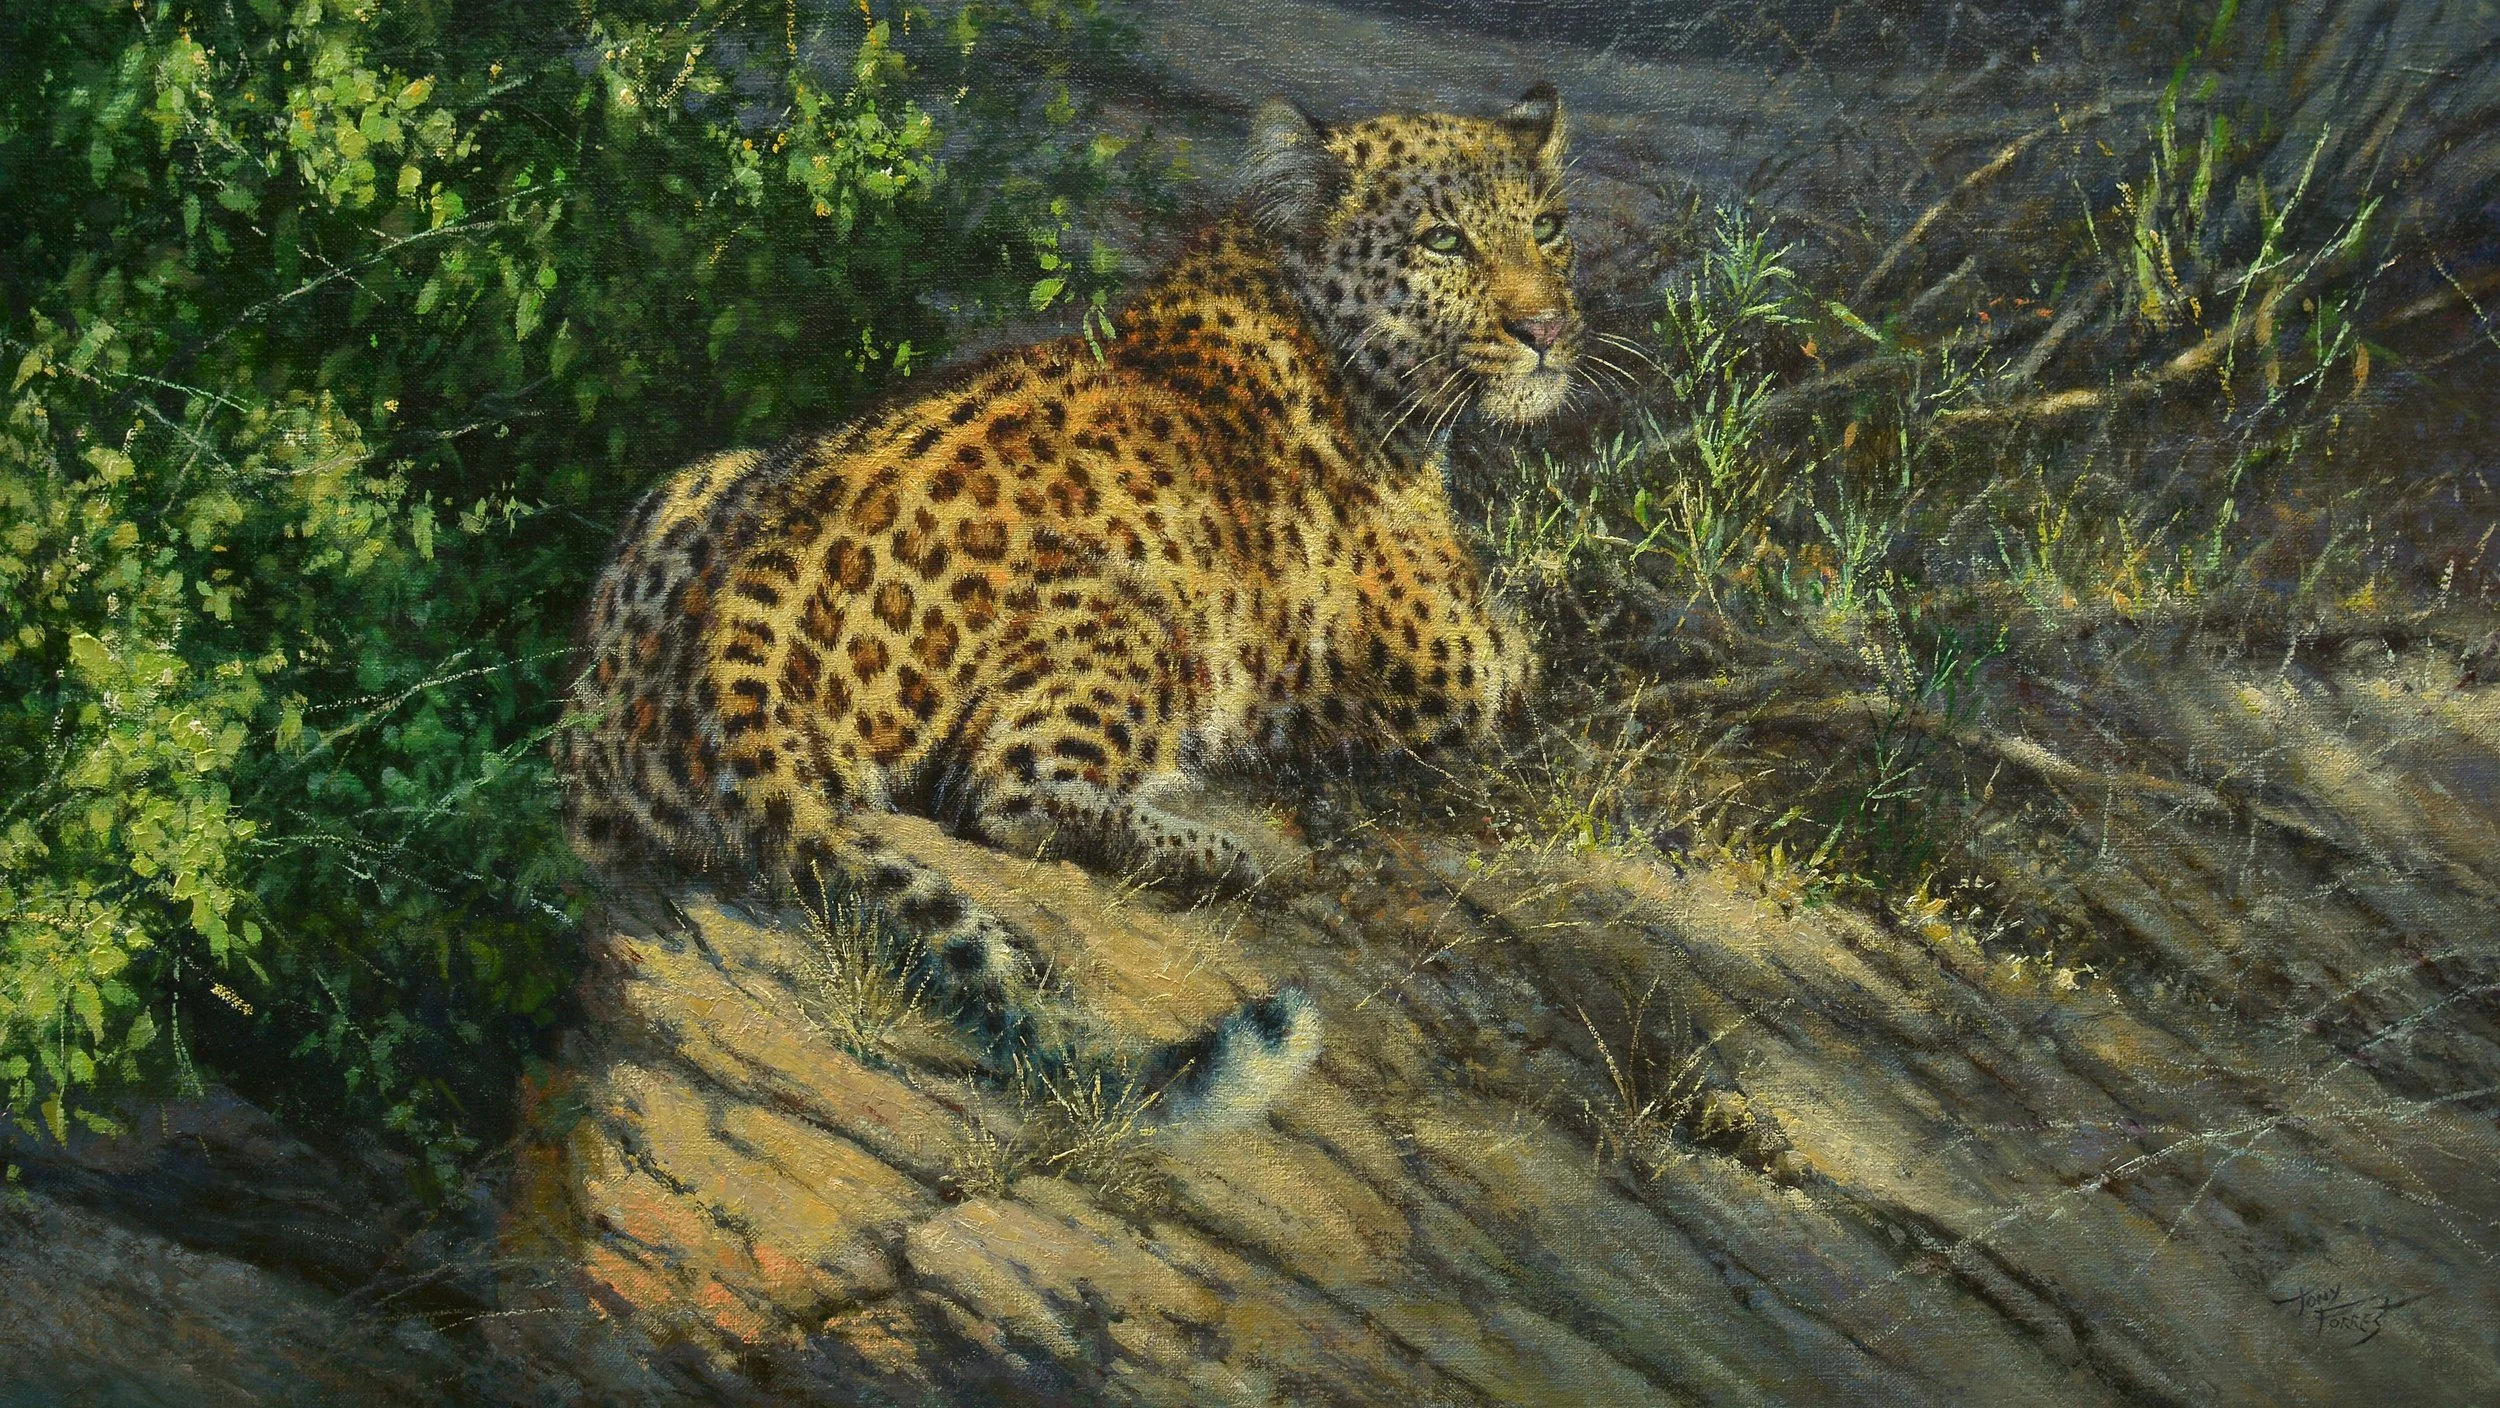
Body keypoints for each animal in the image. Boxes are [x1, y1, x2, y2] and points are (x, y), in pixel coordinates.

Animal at [554, 84, 1583, 1126]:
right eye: (1443, 241)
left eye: (1548, 229)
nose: (1547, 329)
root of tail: (732, 644)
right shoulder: (1446, 662)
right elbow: (1529, 656)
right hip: (1149, 618)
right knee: (999, 792)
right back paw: (1230, 852)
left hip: (686, 496)